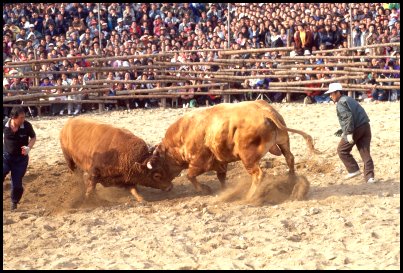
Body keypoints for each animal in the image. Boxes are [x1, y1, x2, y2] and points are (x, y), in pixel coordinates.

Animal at [153, 99, 320, 199]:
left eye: (158, 172)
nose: (167, 188)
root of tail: (264, 111)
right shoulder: (220, 162)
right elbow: (221, 177)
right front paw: (224, 190)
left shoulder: (199, 162)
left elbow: (190, 175)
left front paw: (205, 190)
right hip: (283, 141)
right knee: (289, 158)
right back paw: (290, 179)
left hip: (248, 158)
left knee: (259, 174)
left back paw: (250, 196)